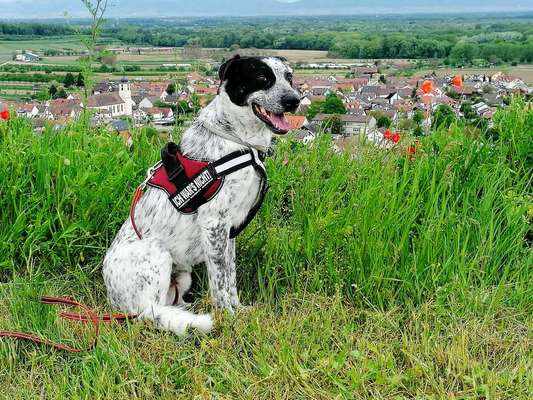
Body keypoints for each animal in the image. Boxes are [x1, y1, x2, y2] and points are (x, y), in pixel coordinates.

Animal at [101, 56, 300, 336]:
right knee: (152, 313)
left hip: (183, 275)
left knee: (172, 304)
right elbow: (219, 282)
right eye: (262, 78)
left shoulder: (229, 232)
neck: (238, 140)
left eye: (289, 77)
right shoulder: (214, 224)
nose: (294, 100)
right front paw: (228, 318)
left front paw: (238, 310)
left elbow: (229, 278)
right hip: (157, 254)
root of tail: (113, 298)